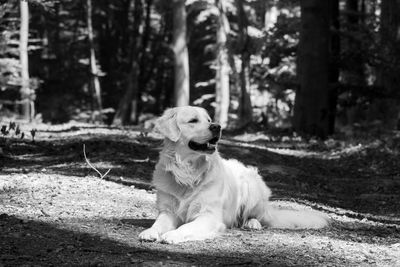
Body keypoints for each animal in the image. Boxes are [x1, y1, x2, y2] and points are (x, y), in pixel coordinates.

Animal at [139, 107, 326, 245]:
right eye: (193, 121)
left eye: (209, 120)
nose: (217, 126)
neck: (188, 171)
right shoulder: (168, 211)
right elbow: (158, 223)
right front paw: (149, 232)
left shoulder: (209, 216)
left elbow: (186, 228)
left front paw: (172, 235)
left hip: (251, 188)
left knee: (258, 217)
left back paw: (252, 223)